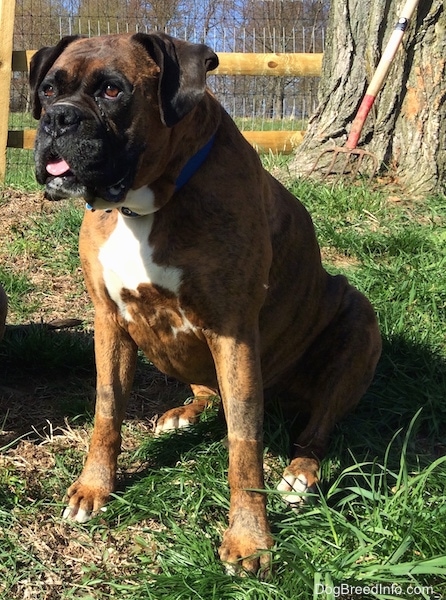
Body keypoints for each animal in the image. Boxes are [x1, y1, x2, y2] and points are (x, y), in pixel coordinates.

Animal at [29, 31, 382, 572]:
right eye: (48, 89)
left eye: (112, 91)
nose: (58, 118)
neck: (142, 206)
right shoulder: (109, 321)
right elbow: (107, 410)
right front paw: (94, 488)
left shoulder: (233, 333)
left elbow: (244, 444)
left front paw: (250, 539)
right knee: (207, 391)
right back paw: (183, 415)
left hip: (359, 321)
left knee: (317, 427)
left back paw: (298, 473)